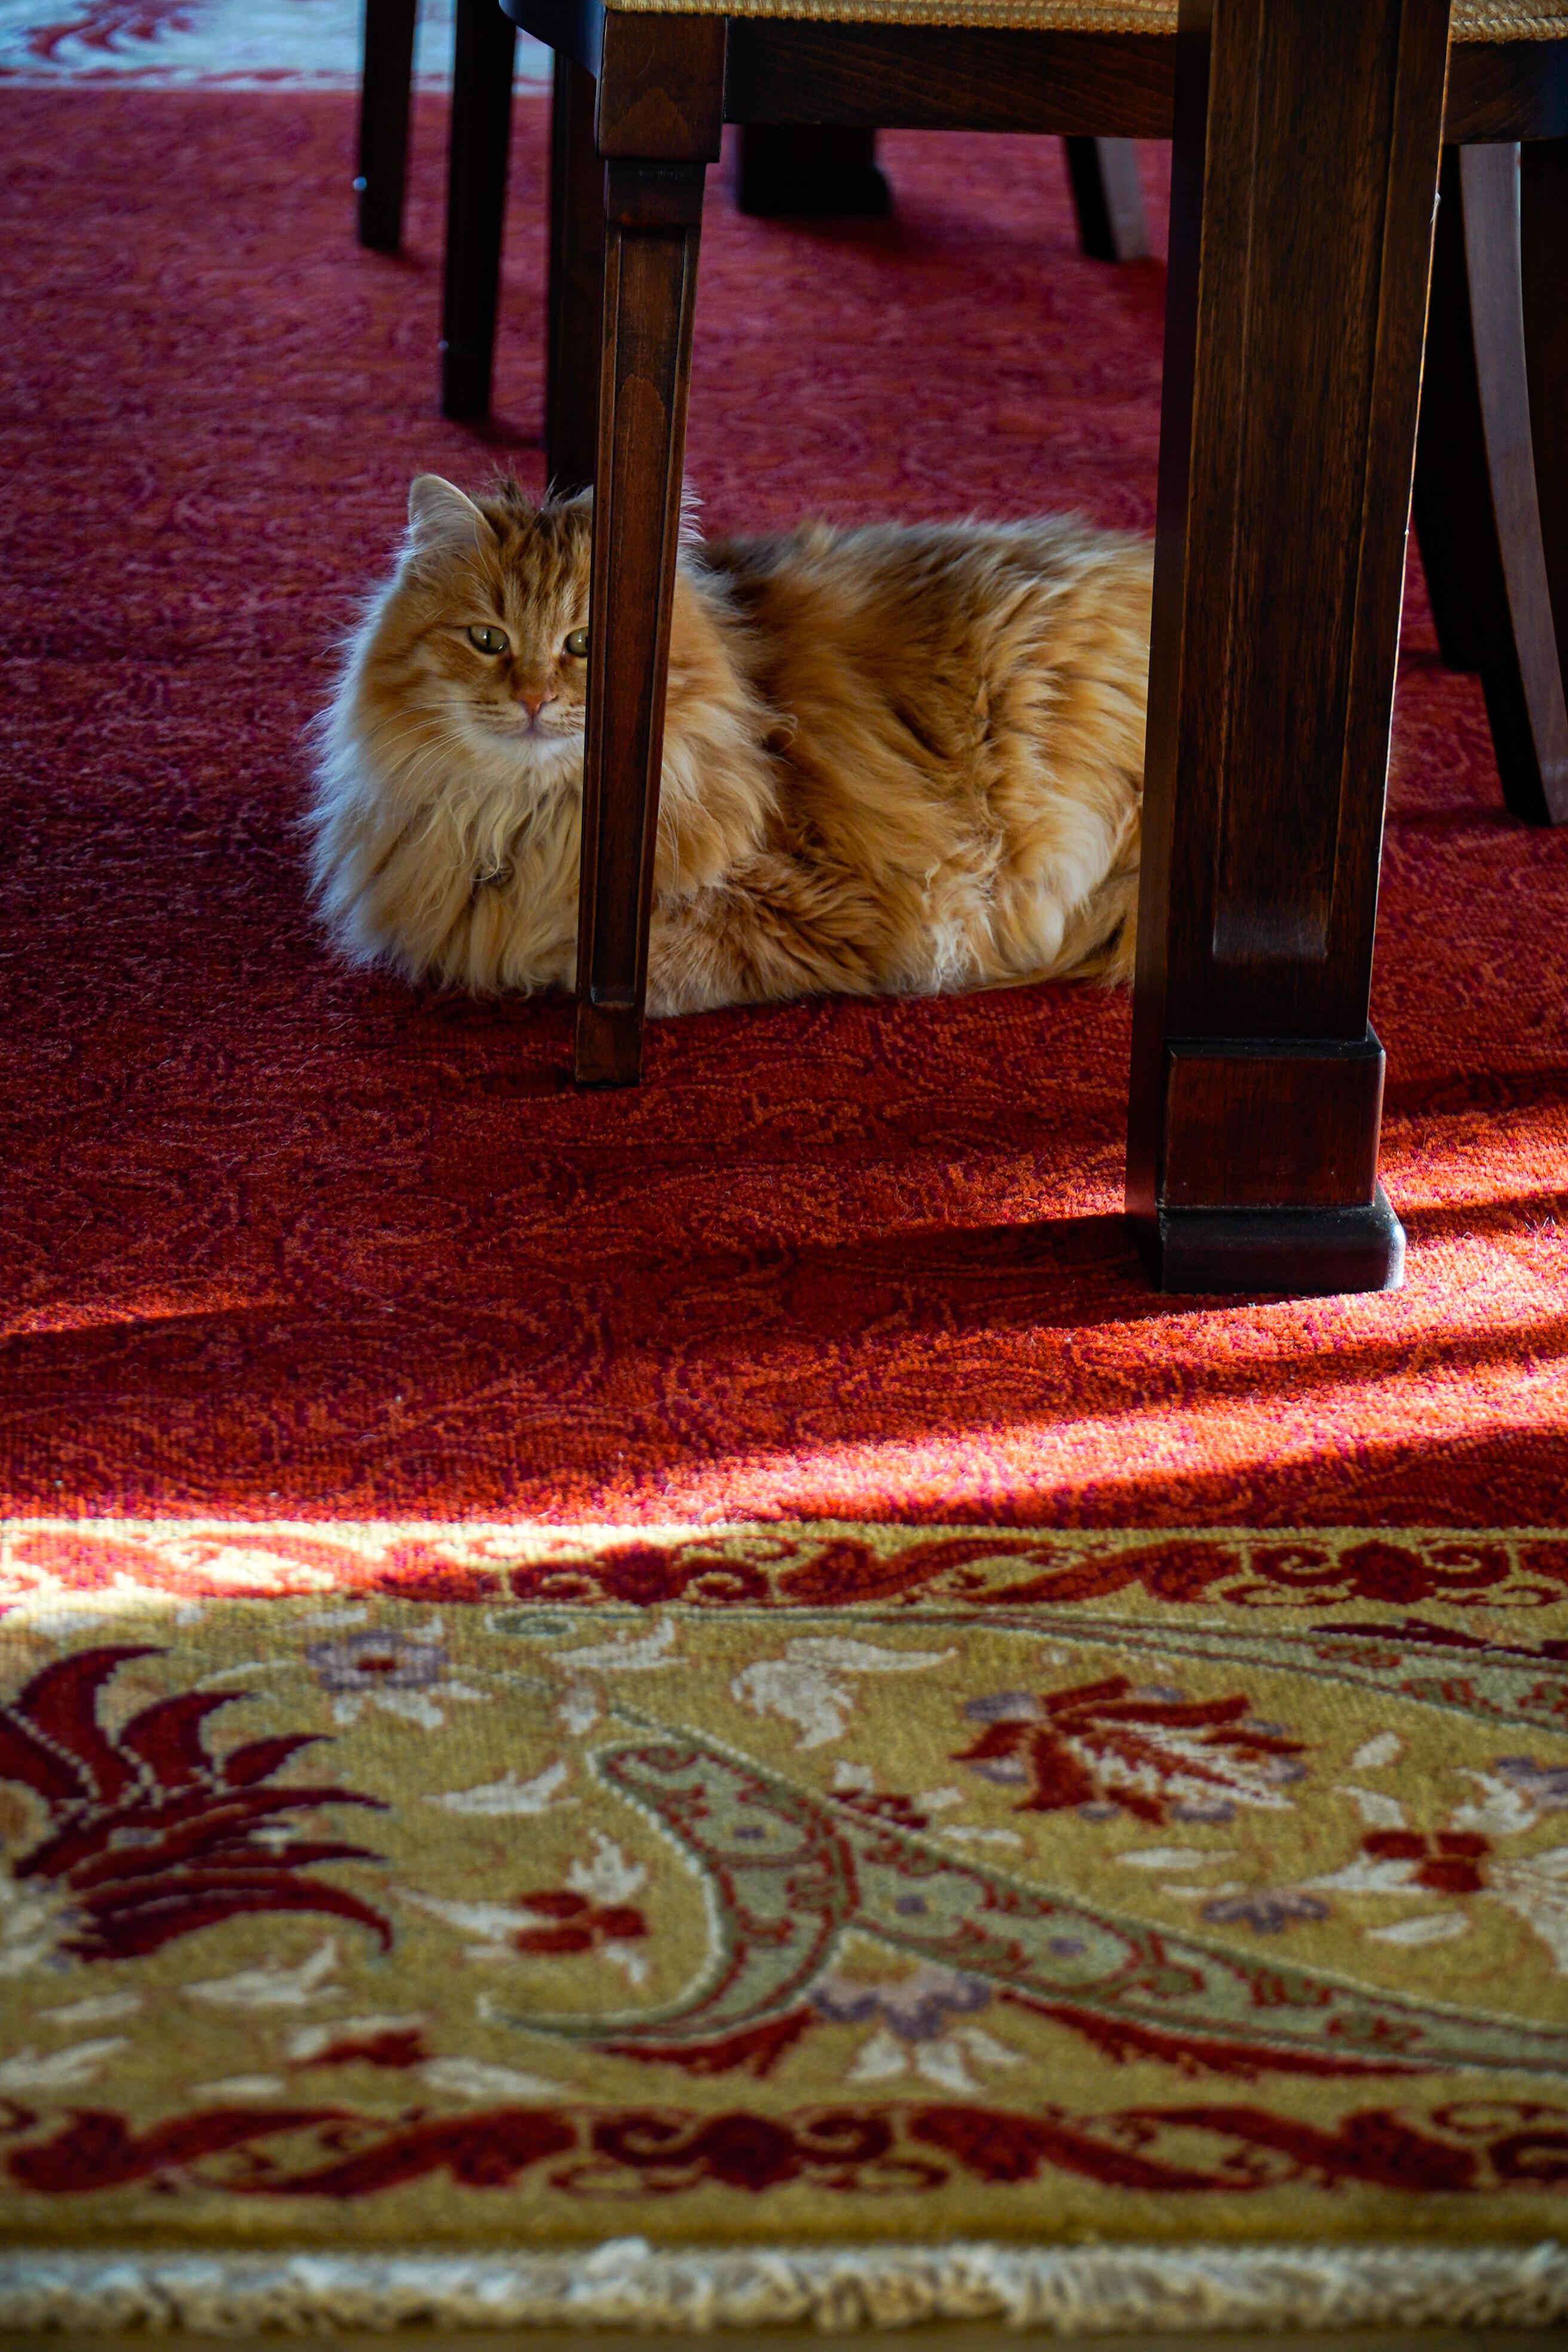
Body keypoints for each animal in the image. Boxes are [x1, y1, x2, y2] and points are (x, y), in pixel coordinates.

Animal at [308, 474, 1152, 1015]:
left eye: (583, 643)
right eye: (487, 639)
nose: (534, 699)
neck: (531, 819)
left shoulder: (836, 907)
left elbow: (606, 957)